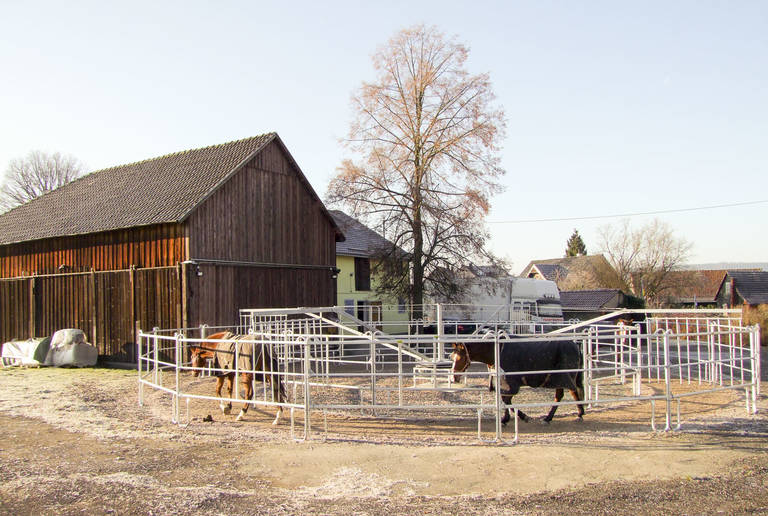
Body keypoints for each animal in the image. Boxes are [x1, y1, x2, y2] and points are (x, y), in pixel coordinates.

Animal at [452, 336, 584, 426]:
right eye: (452, 357)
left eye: (459, 358)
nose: (454, 377)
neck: (497, 351)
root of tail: (575, 346)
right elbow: (505, 400)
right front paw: (513, 418)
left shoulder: (512, 383)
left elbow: (506, 400)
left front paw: (512, 418)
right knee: (565, 394)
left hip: (564, 377)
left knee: (567, 393)